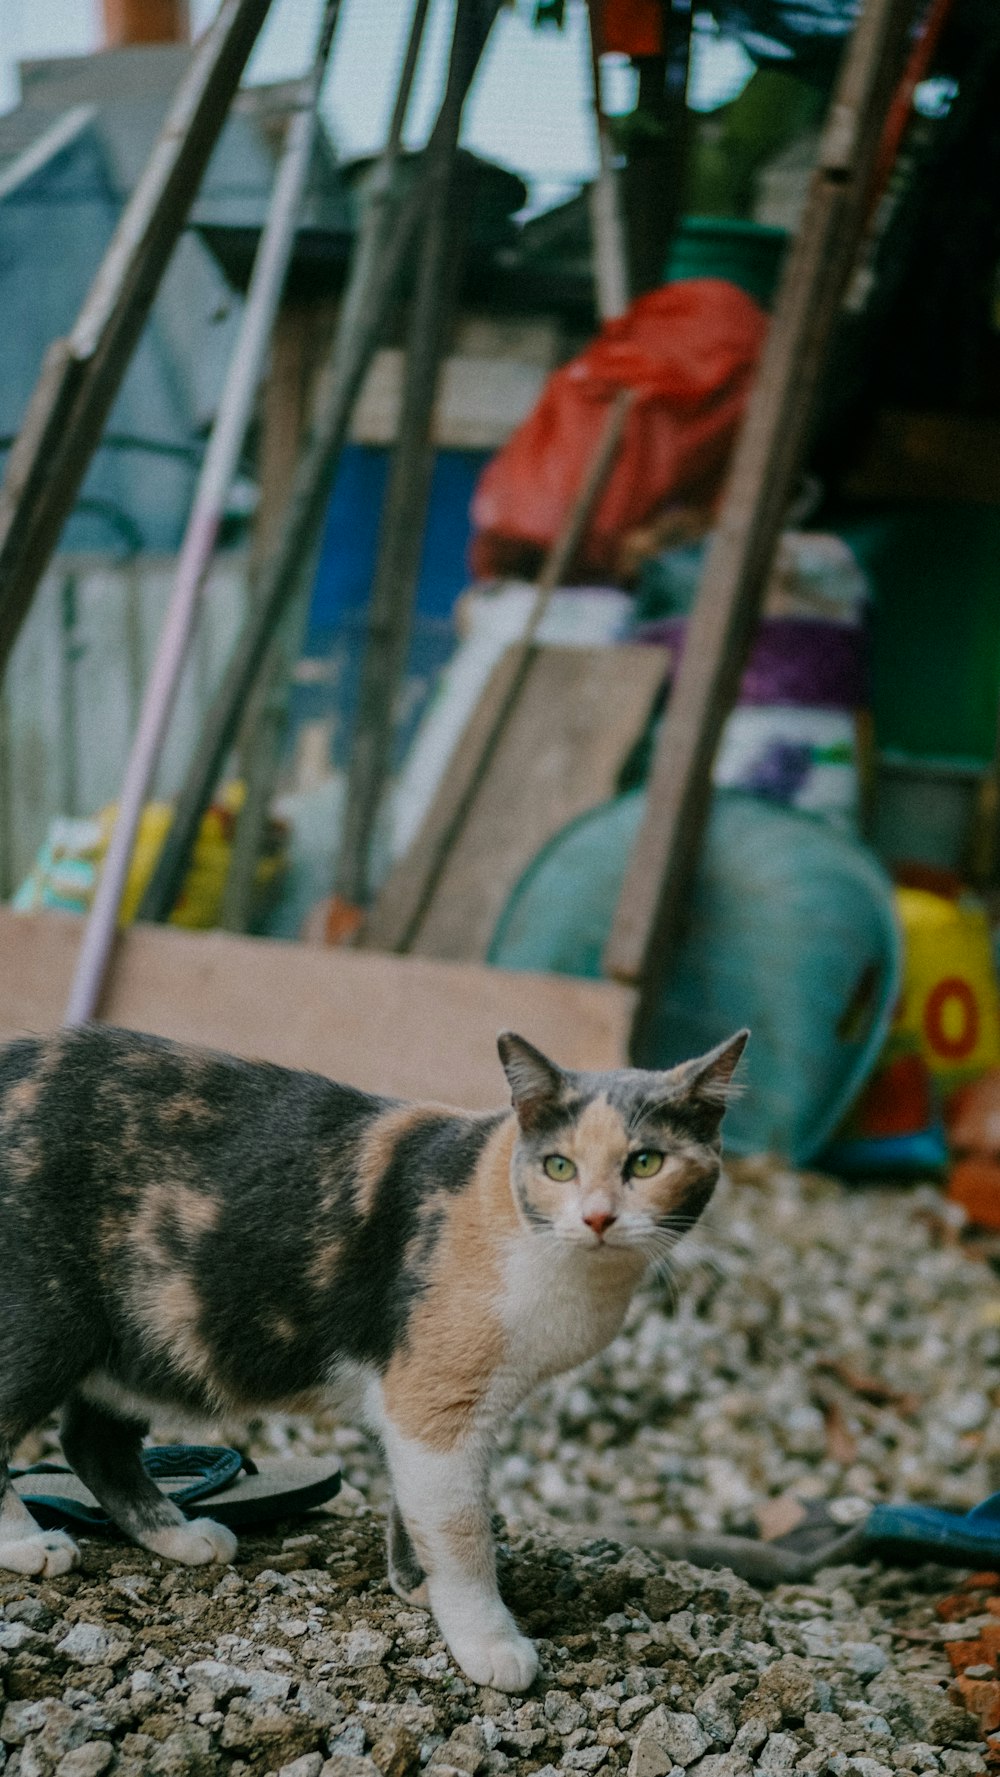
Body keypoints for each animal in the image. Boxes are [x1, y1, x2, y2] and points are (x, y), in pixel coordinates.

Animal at [0, 1023, 746, 1684]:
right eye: (559, 1166)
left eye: (646, 1162)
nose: (596, 1216)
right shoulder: (435, 1402)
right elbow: (463, 1530)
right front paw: (488, 1639)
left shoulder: (420, 1404)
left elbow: (415, 1506)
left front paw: (416, 1585)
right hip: (49, 1319)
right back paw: (28, 1544)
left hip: (140, 1345)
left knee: (92, 1440)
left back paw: (178, 1535)